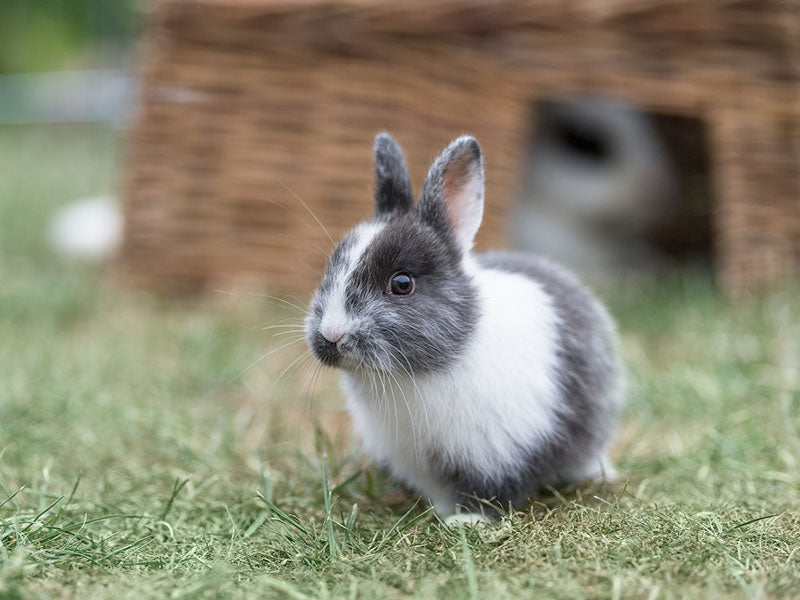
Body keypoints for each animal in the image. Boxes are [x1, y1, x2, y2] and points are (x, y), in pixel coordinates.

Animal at [305, 133, 624, 518]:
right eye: (332, 267)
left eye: (402, 283)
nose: (331, 334)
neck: (417, 373)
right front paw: (440, 510)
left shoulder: (497, 449)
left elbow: (489, 489)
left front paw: (467, 519)